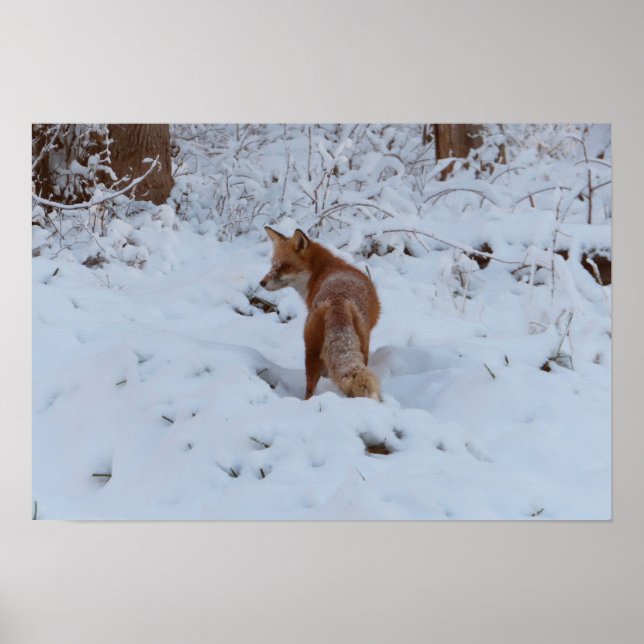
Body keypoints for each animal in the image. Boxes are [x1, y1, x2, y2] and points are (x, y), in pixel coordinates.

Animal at [261, 227, 382, 401]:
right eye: (273, 264)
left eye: (284, 266)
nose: (261, 283)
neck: (323, 270)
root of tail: (337, 300)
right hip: (346, 348)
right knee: (310, 389)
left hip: (314, 350)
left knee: (310, 389)